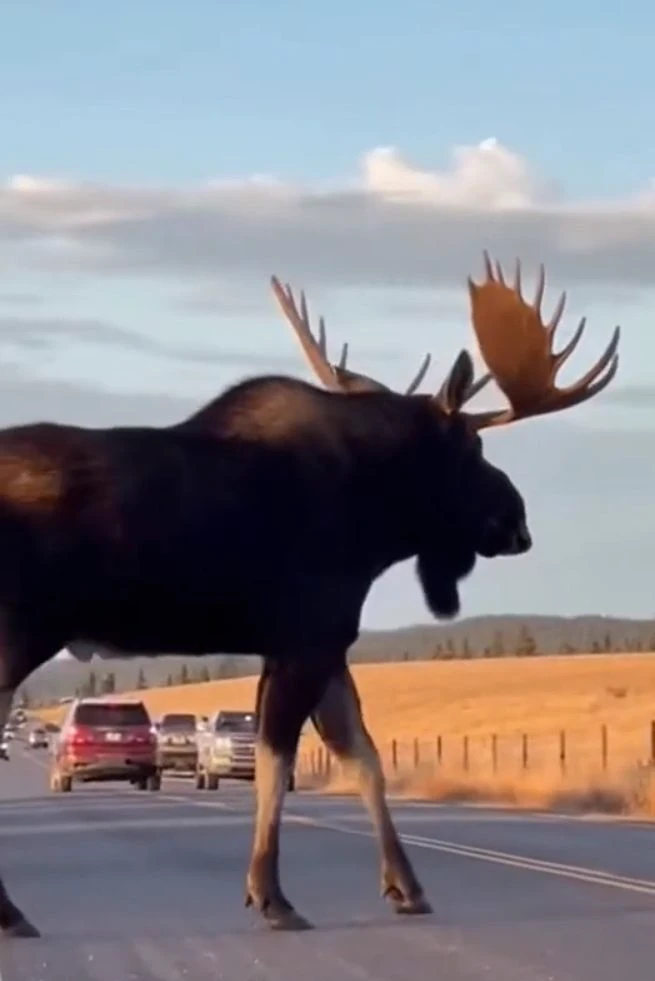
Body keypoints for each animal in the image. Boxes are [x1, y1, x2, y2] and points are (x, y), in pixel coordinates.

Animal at [0, 254, 618, 937]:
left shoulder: (314, 646)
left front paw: (405, 888)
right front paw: (272, 896)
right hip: (17, 632)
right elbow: (280, 766)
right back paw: (11, 912)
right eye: (474, 447)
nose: (518, 524)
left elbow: (363, 759)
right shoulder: (309, 638)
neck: (375, 521)